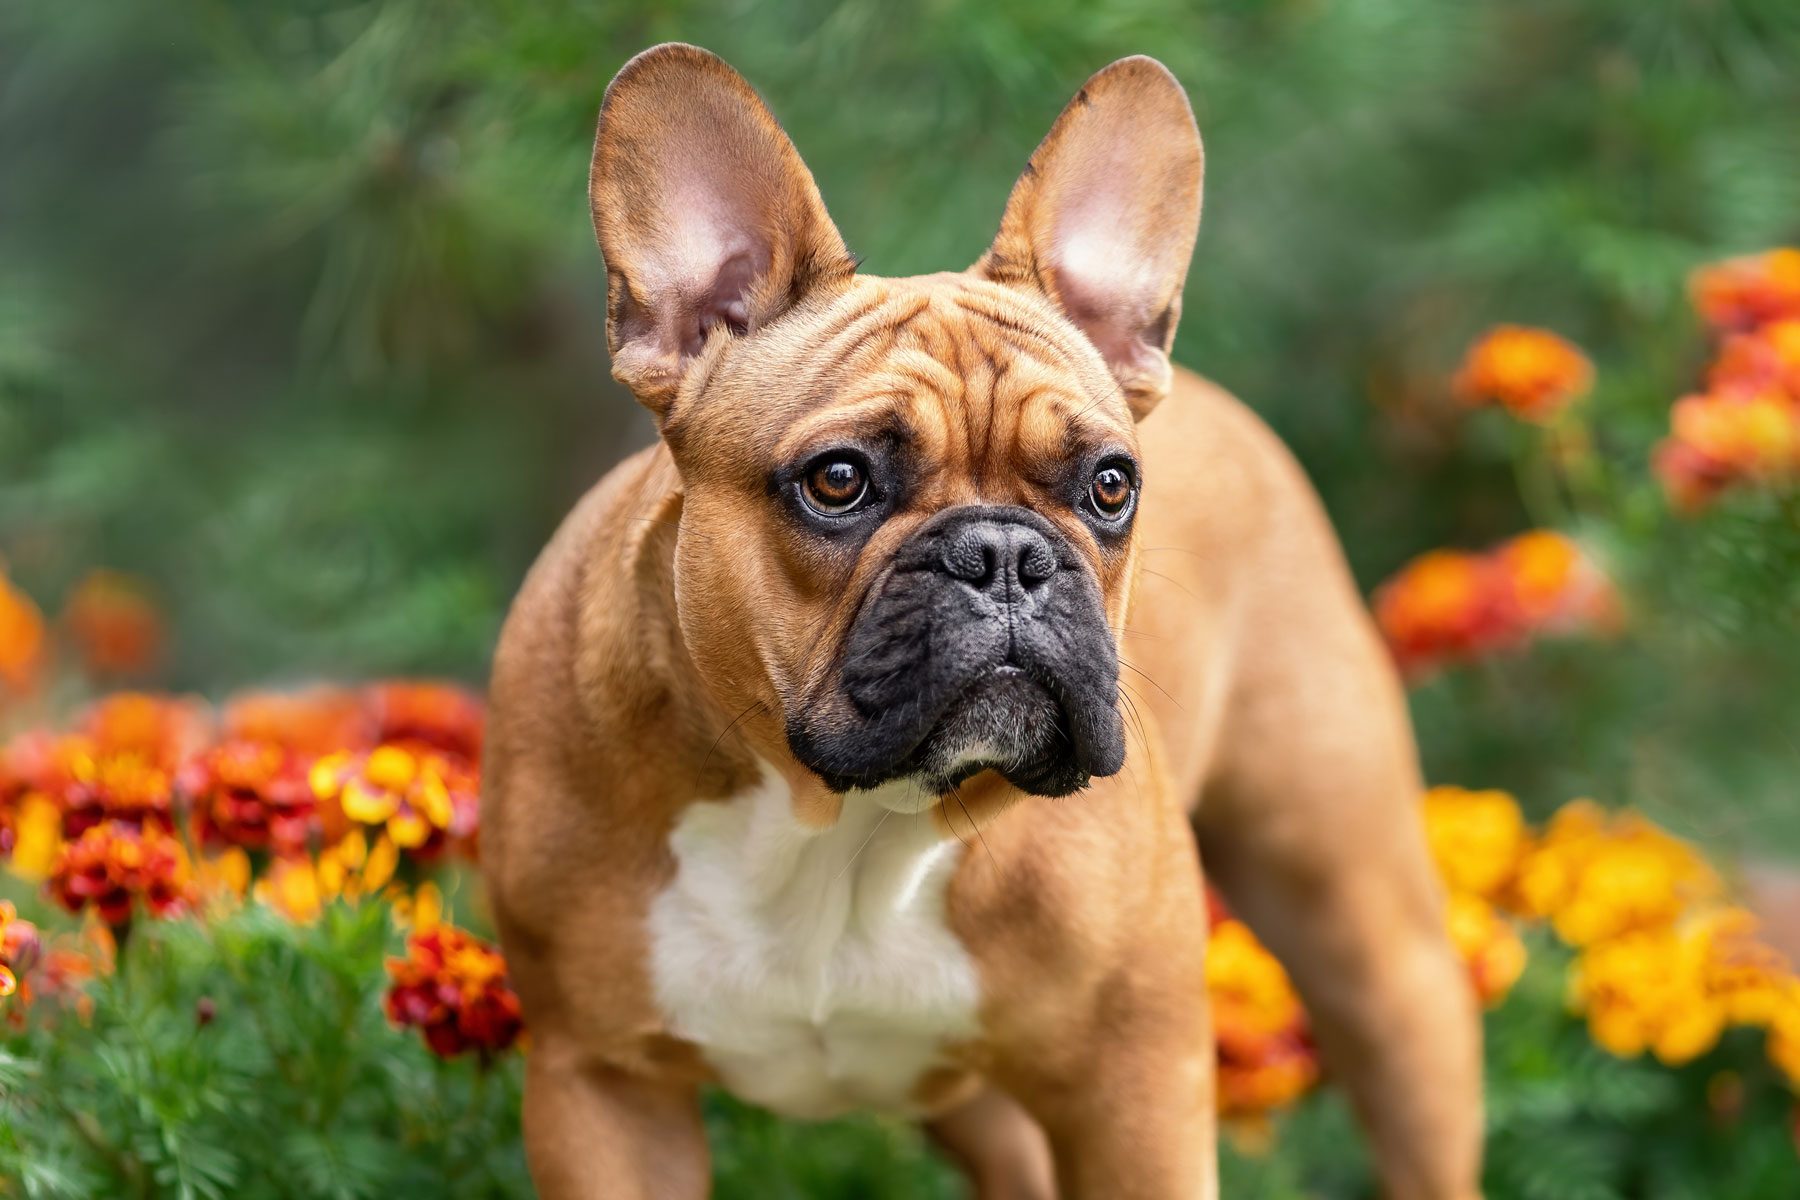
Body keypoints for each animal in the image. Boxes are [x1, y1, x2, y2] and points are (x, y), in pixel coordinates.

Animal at [486, 42, 1483, 1194]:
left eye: (1109, 486)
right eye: (837, 480)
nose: (1006, 555)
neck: (839, 823)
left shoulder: (1138, 1088)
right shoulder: (601, 1091)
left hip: (1367, 942)